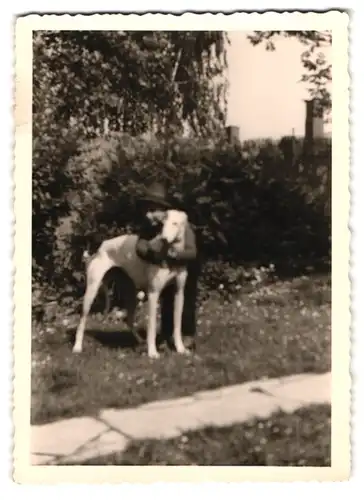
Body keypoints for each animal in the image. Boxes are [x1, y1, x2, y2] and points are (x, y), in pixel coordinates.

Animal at [72, 209, 189, 358]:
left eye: (175, 223)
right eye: (162, 223)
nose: (163, 238)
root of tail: (101, 246)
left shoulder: (179, 293)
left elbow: (177, 325)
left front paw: (181, 349)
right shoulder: (154, 293)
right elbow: (151, 326)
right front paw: (152, 353)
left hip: (132, 294)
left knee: (129, 320)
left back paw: (140, 341)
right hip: (92, 291)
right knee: (82, 320)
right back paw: (77, 346)